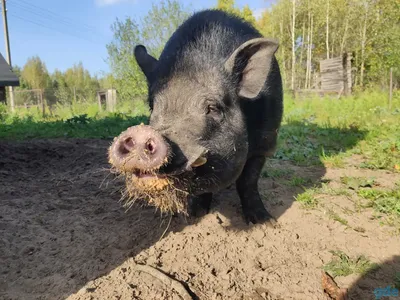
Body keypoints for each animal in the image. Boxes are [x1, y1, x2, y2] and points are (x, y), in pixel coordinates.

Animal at [108, 8, 284, 225]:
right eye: (152, 106)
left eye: (212, 108)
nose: (141, 134)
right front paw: (194, 215)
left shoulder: (265, 143)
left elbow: (248, 181)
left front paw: (265, 222)